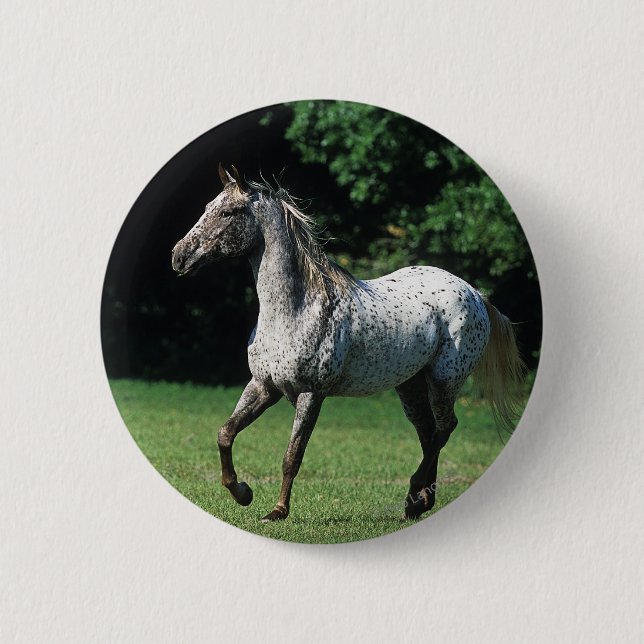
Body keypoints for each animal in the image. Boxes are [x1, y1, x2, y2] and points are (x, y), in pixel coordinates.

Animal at [171, 165, 525, 523]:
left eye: (229, 212)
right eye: (208, 207)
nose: (179, 256)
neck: (295, 309)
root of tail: (474, 293)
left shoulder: (311, 394)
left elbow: (292, 456)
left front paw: (277, 511)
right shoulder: (263, 386)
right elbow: (225, 433)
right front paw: (242, 493)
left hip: (444, 380)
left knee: (444, 428)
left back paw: (414, 493)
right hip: (410, 385)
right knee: (429, 433)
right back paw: (419, 502)